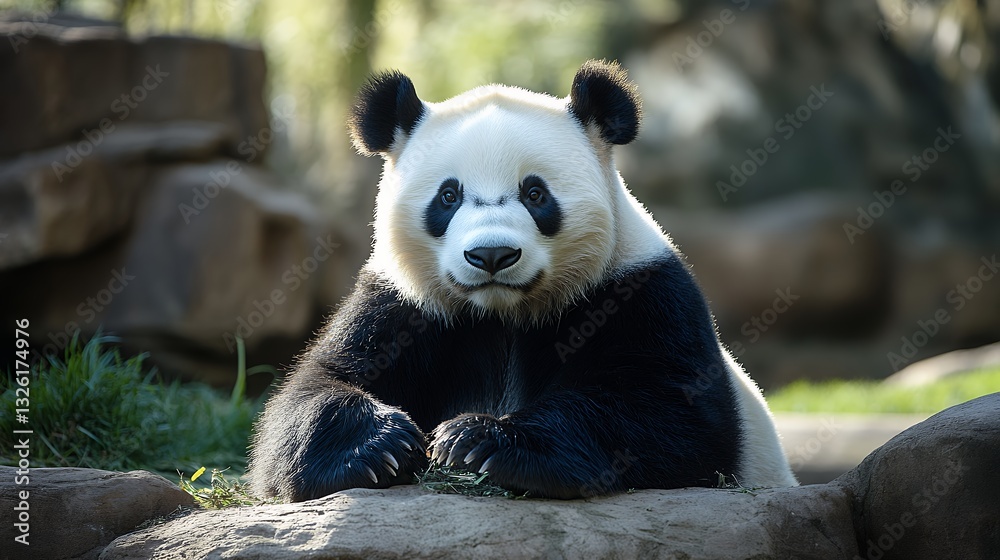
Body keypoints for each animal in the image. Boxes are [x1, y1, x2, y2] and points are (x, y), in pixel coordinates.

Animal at [248, 59, 797, 502]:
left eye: (535, 194)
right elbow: (313, 388)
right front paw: (380, 445)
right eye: (448, 196)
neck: (502, 312)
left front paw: (479, 441)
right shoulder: (403, 305)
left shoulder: (641, 291)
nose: (491, 254)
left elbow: (675, 414)